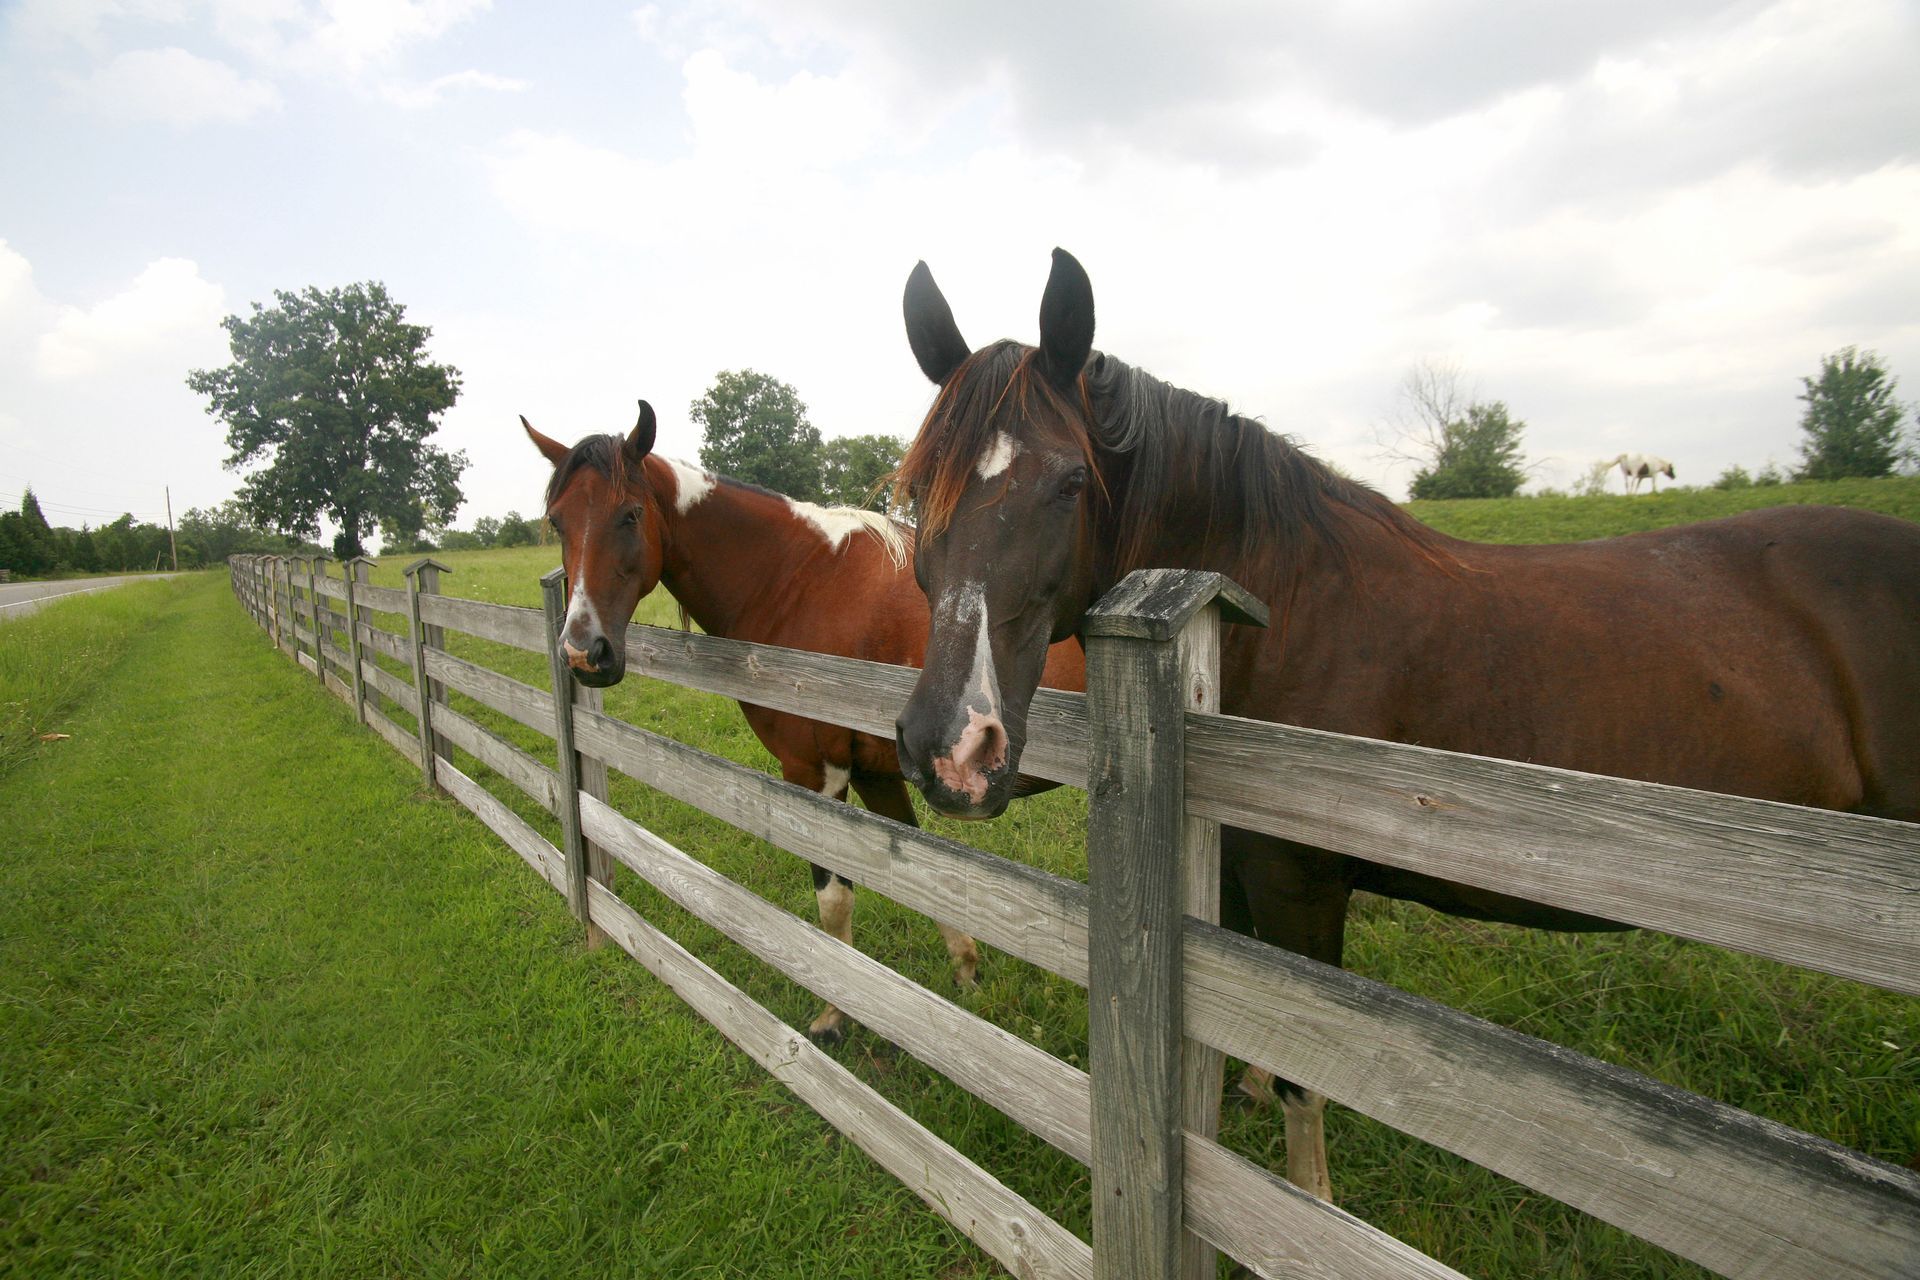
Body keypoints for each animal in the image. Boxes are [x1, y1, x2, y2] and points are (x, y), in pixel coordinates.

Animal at [525, 402, 1086, 1045]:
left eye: (630, 514)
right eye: (558, 521)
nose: (582, 653)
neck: (800, 579)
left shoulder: (815, 774)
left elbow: (833, 899)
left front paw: (834, 1015)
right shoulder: (876, 774)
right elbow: (925, 876)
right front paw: (966, 974)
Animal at [890, 248, 1920, 1201]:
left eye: (1070, 482)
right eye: (914, 490)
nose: (953, 748)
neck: (1275, 608)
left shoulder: (1301, 883)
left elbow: (1302, 1075)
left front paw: (1307, 1209)